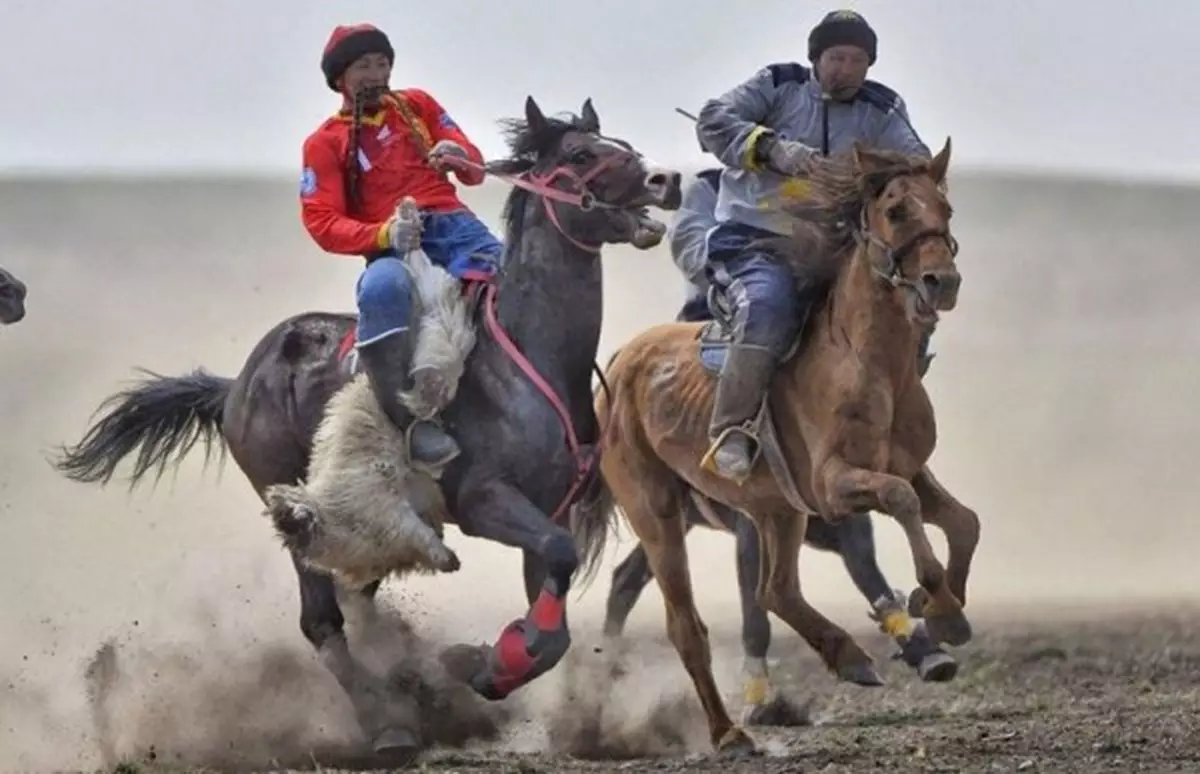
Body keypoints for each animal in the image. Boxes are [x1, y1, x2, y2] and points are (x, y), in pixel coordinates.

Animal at [54, 94, 686, 758]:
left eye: (621, 145)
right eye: (583, 154)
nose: (665, 180)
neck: (522, 357)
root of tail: (237, 385)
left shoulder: (548, 509)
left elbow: (554, 618)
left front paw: (479, 664)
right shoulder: (485, 501)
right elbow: (555, 568)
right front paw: (472, 664)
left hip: (359, 519)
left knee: (355, 600)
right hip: (297, 508)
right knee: (321, 620)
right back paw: (386, 727)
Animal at [576, 137, 979, 748]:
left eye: (946, 209)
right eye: (896, 210)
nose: (943, 282)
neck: (868, 365)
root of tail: (621, 363)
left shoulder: (907, 468)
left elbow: (963, 521)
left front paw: (944, 611)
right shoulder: (836, 484)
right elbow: (903, 501)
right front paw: (934, 597)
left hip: (775, 511)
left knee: (776, 590)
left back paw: (849, 656)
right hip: (658, 512)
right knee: (686, 623)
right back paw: (727, 733)